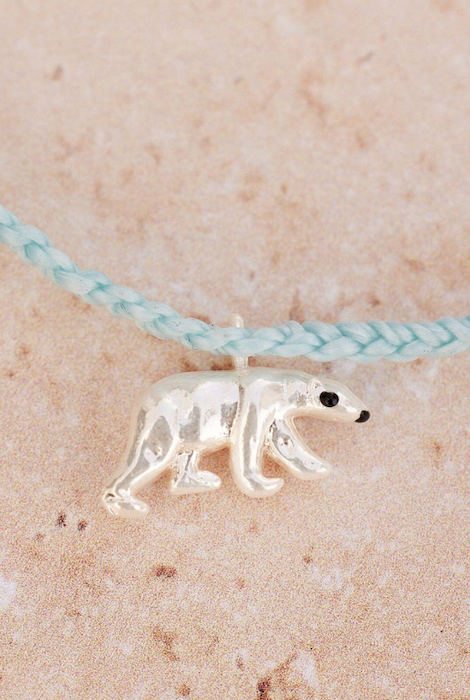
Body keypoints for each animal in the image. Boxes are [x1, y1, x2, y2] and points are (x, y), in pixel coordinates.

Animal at [101, 366, 370, 519]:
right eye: (330, 398)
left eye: (349, 392)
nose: (363, 413)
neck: (282, 383)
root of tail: (142, 403)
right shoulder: (257, 397)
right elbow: (249, 437)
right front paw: (266, 483)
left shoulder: (277, 412)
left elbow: (283, 440)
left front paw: (317, 467)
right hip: (166, 416)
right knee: (153, 453)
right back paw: (127, 505)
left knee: (187, 455)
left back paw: (201, 480)